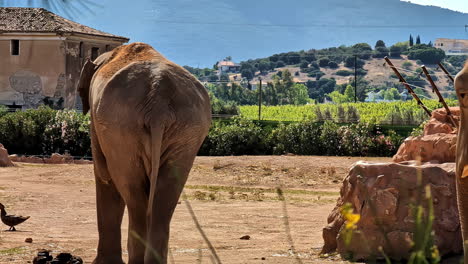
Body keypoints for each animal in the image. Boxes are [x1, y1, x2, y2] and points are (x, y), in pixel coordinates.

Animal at [77, 42, 212, 262]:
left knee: (131, 191)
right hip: (188, 131)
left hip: (121, 129)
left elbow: (104, 175)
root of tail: (158, 100)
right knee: (164, 197)